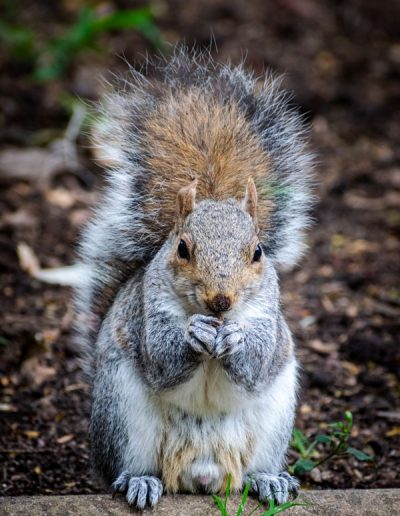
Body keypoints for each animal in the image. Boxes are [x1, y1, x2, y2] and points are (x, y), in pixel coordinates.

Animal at [74, 50, 312, 510]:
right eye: (183, 248)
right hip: (122, 414)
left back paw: (269, 481)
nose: (221, 301)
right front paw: (194, 333)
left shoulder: (267, 318)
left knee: (252, 469)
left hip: (273, 421)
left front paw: (234, 338)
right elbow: (162, 361)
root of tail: (203, 473)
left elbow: (255, 363)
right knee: (132, 466)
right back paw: (139, 481)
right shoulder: (147, 313)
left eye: (258, 252)